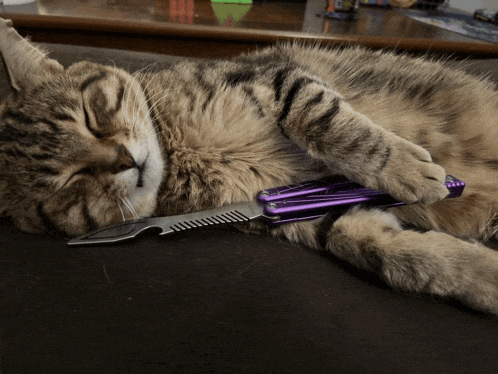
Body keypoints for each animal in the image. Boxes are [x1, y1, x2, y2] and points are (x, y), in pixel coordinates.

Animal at [0, 17, 498, 316]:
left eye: (89, 115)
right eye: (71, 182)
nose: (125, 160)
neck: (178, 156)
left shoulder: (276, 79)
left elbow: (331, 124)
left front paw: (409, 170)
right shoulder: (312, 216)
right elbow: (398, 254)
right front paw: (484, 276)